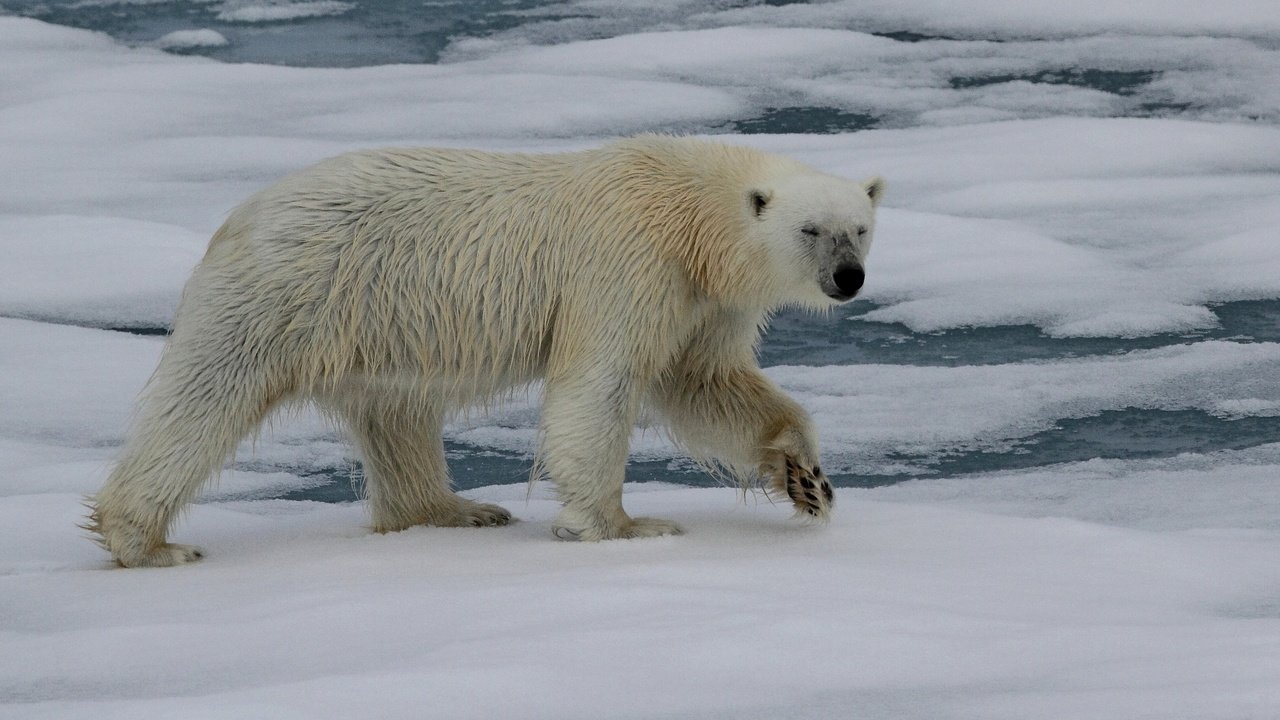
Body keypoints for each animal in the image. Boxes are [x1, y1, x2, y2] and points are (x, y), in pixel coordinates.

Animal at [85, 131, 885, 563]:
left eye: (861, 227)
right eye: (811, 229)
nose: (847, 278)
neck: (689, 209)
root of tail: (239, 214)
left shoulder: (703, 299)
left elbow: (706, 383)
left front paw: (808, 479)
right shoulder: (628, 260)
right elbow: (601, 385)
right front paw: (623, 526)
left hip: (379, 320)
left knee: (397, 413)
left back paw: (454, 509)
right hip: (291, 292)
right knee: (204, 398)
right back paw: (147, 541)